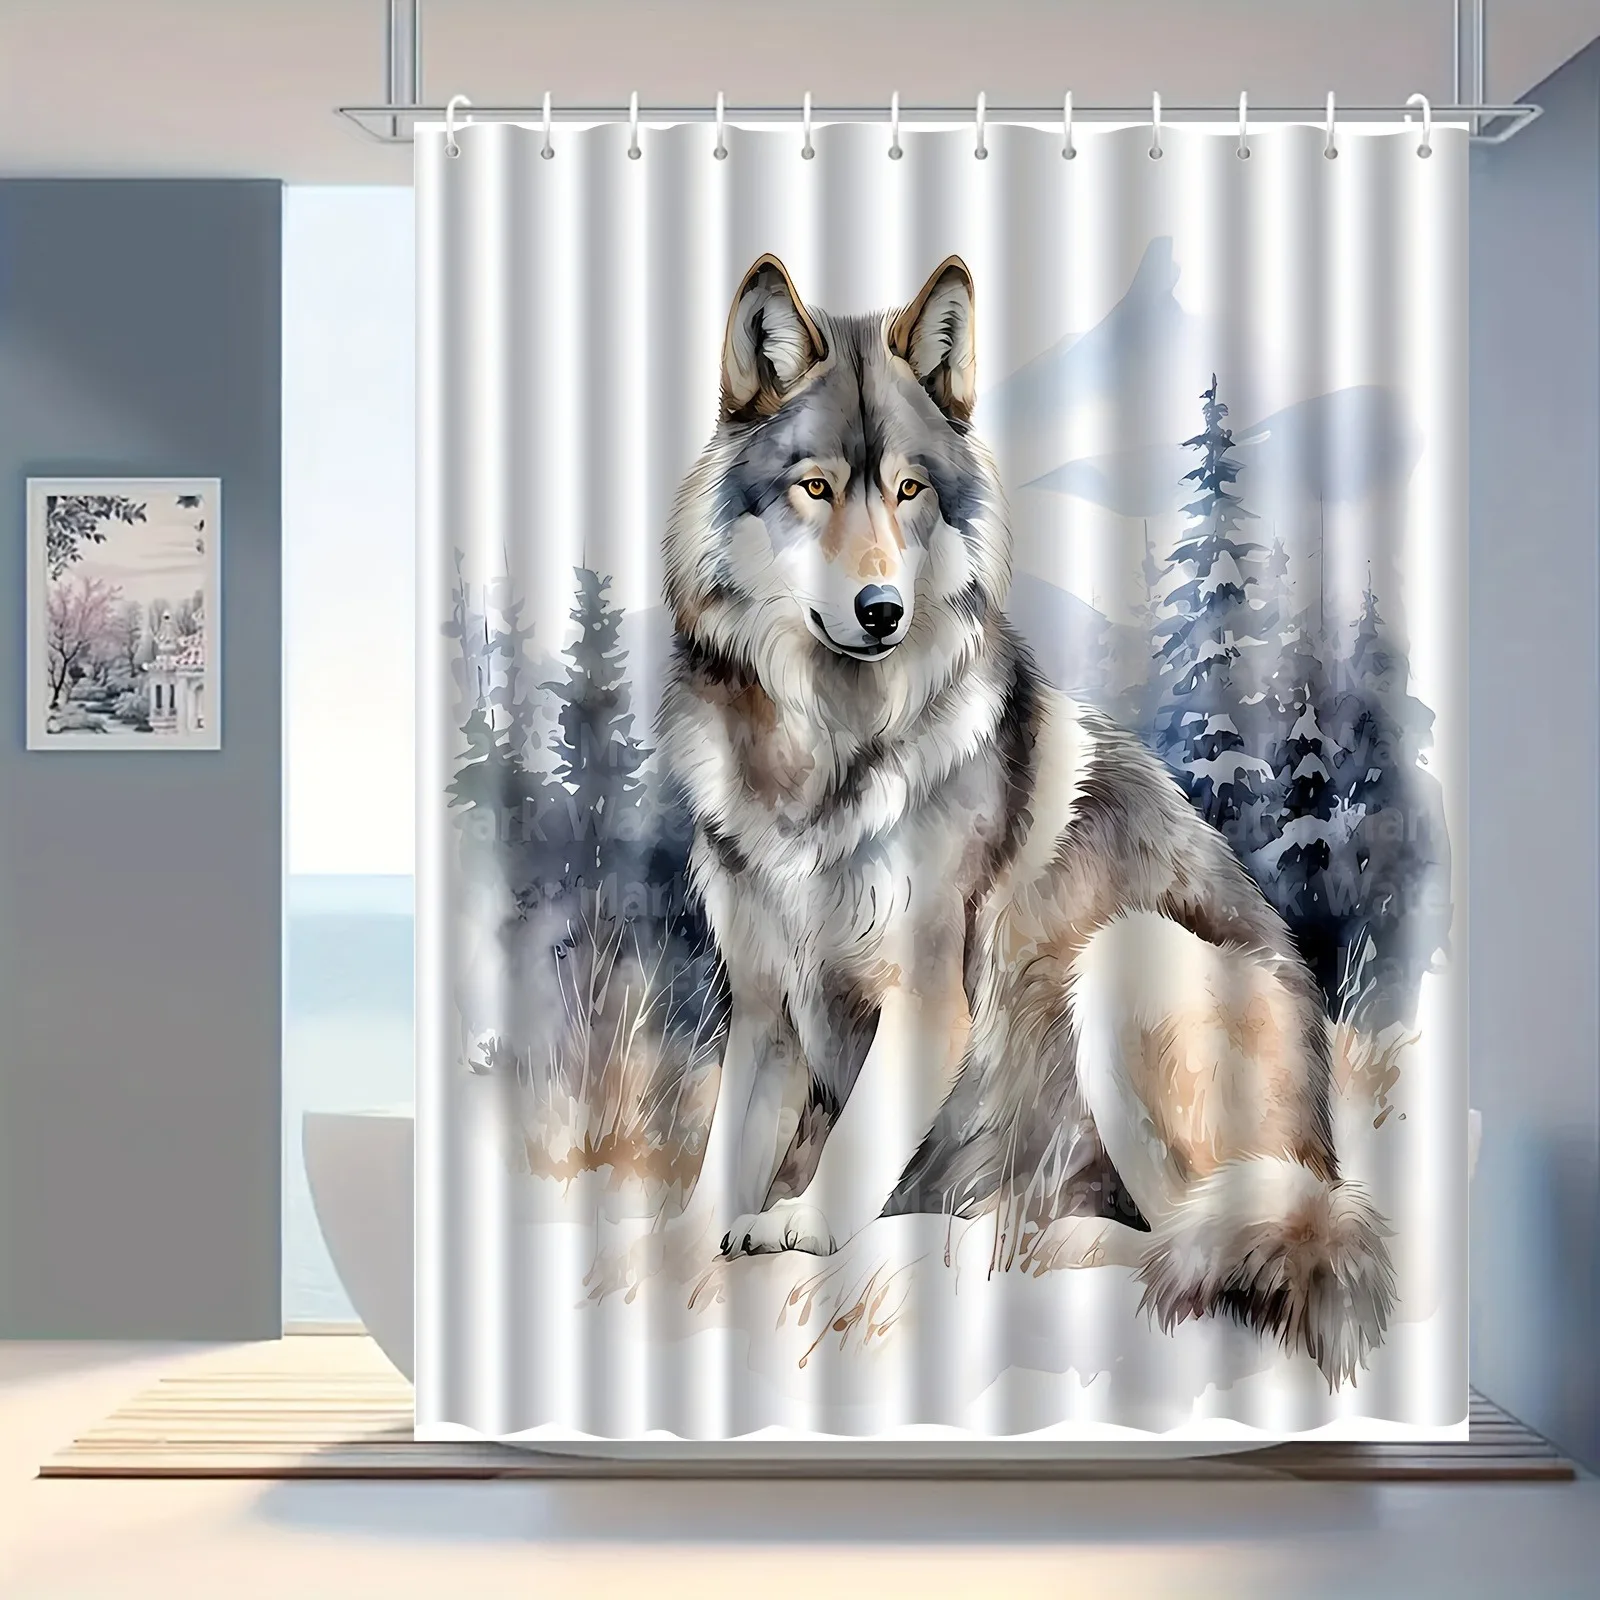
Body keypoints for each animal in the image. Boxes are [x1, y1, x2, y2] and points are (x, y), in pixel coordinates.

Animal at [656, 253, 1395, 1387]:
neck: (821, 755)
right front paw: (682, 1239)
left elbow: (855, 1140)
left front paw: (800, 1225)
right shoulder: (766, 1005)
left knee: (1190, 1234)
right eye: (814, 487)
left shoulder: (924, 998)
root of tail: (1326, 1166)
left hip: (1131, 957)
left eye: (909, 489)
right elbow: (719, 1163)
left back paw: (1030, 1238)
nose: (880, 610)